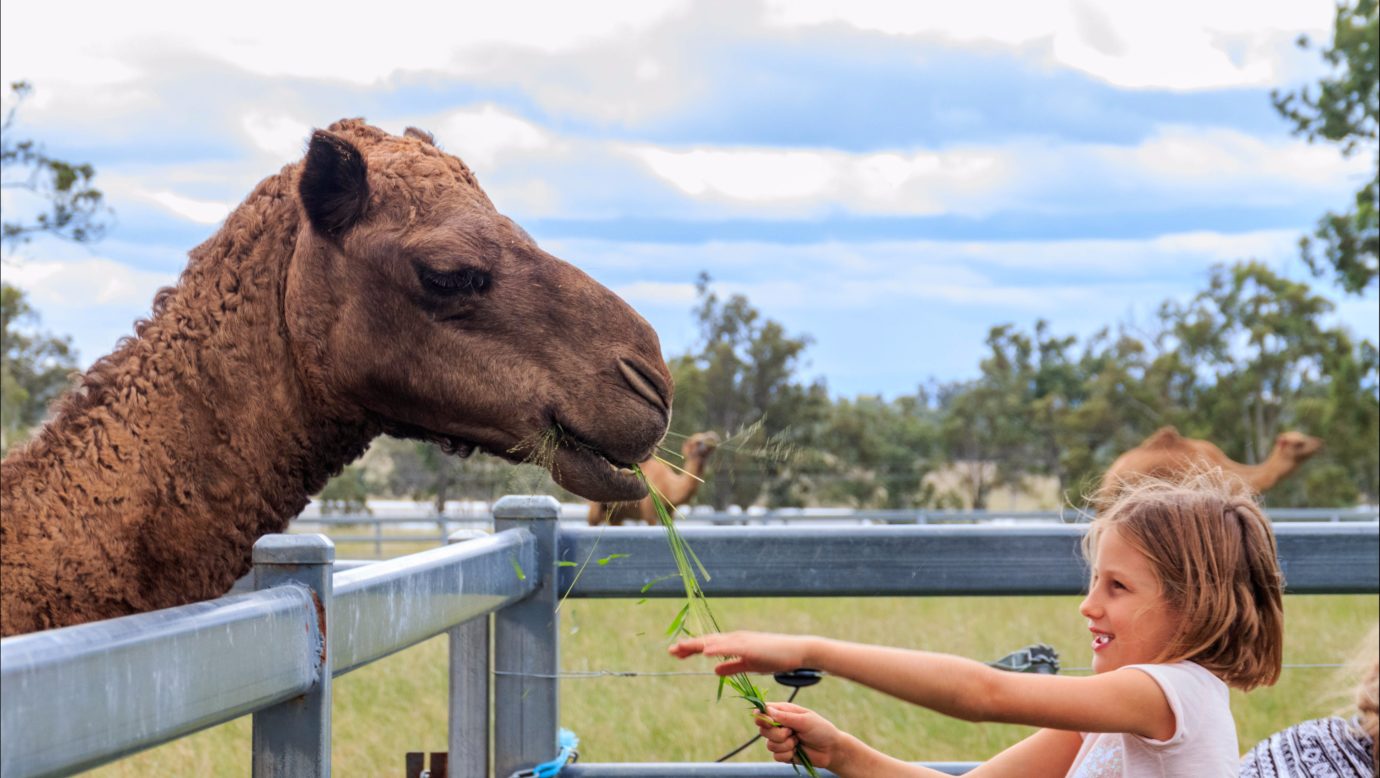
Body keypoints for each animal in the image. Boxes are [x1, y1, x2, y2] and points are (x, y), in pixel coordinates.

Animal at [587, 427, 723, 526]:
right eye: (697, 441)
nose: (713, 436)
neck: (668, 486)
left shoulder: (670, 513)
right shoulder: (650, 513)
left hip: (616, 516)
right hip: (594, 513)